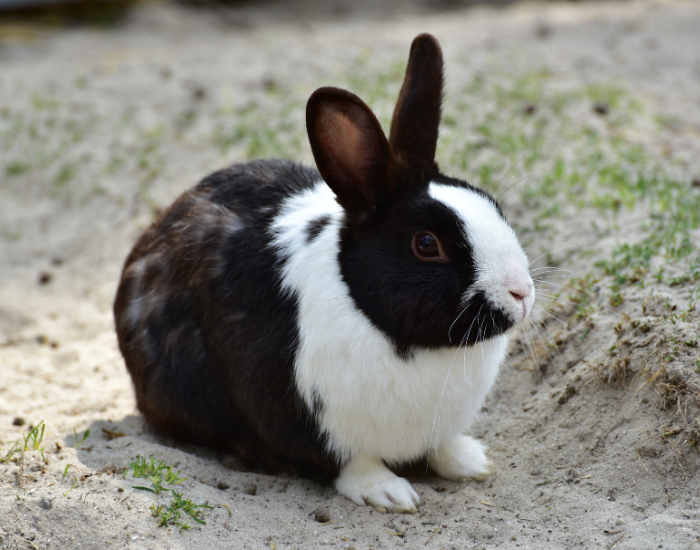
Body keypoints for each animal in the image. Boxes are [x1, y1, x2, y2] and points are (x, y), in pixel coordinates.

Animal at [114, 33, 535, 513]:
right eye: (427, 244)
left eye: (492, 204)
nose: (521, 293)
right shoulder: (306, 417)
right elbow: (349, 463)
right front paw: (389, 493)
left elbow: (441, 447)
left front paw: (470, 461)